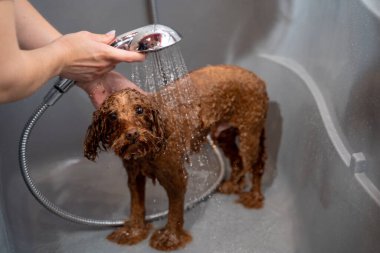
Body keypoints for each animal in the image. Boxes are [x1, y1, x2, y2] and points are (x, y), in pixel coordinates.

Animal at [84, 64, 268, 250]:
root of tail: (256, 78)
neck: (150, 146)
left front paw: (170, 237)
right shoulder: (134, 175)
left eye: (139, 110)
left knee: (255, 164)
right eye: (112, 116)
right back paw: (233, 185)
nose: (132, 134)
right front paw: (133, 231)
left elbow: (175, 211)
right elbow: (136, 206)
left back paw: (254, 197)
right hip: (224, 134)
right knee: (238, 160)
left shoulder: (175, 177)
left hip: (249, 133)